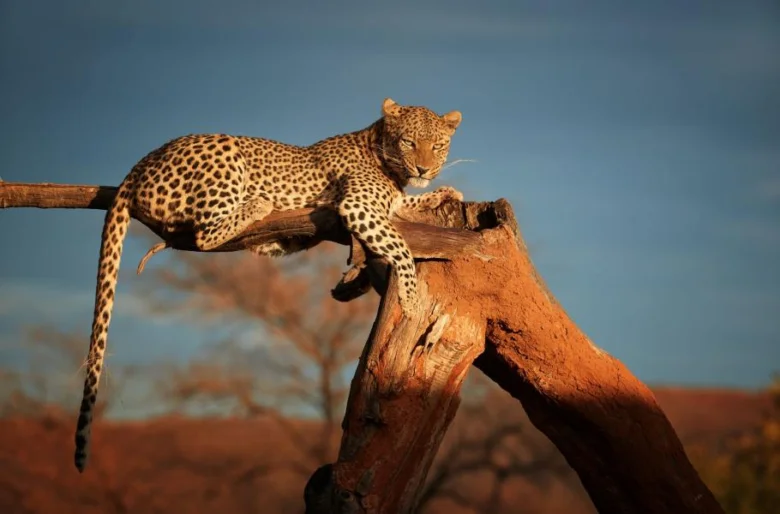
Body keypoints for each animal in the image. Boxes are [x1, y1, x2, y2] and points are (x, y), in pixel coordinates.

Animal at [73, 98, 464, 473]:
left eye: (438, 145)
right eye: (409, 142)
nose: (424, 170)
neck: (384, 155)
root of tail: (142, 162)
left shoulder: (385, 204)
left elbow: (405, 206)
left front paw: (442, 194)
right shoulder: (358, 206)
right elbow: (400, 245)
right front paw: (411, 298)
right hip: (225, 153)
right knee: (204, 235)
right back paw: (258, 203)